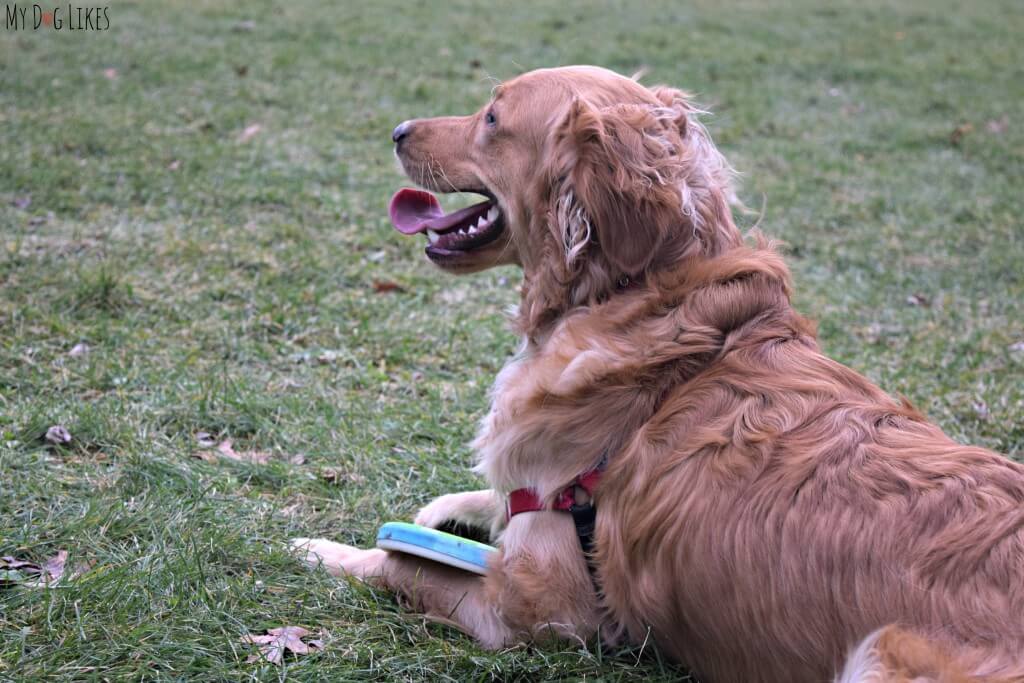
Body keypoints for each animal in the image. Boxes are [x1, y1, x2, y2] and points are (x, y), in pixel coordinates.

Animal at [288, 65, 1024, 683]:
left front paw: (320, 550)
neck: (639, 299)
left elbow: (400, 566)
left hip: (878, 653)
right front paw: (448, 508)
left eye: (493, 118)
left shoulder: (535, 606)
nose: (397, 130)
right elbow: (490, 500)